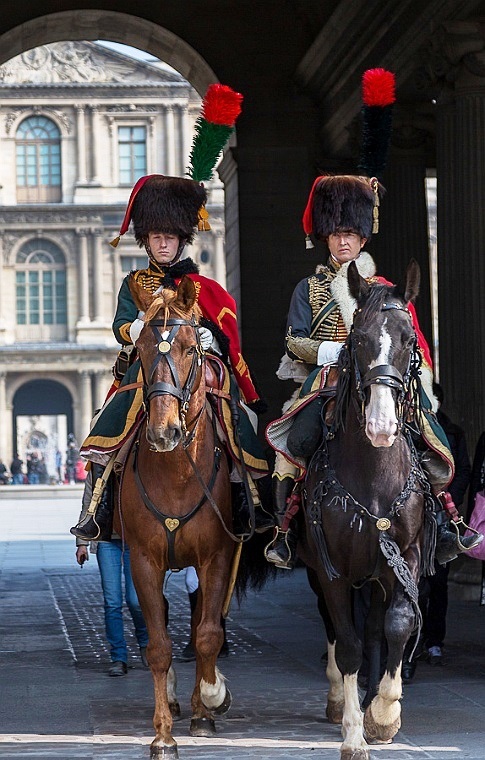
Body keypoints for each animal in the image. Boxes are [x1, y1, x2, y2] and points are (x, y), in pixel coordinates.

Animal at [298, 258, 432, 756]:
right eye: (357, 340)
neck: (373, 474)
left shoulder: (405, 556)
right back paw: (340, 698)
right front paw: (355, 732)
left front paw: (384, 713)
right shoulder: (331, 567)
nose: (381, 426)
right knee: (336, 631)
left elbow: (397, 625)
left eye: (410, 340)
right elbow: (349, 643)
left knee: (375, 627)